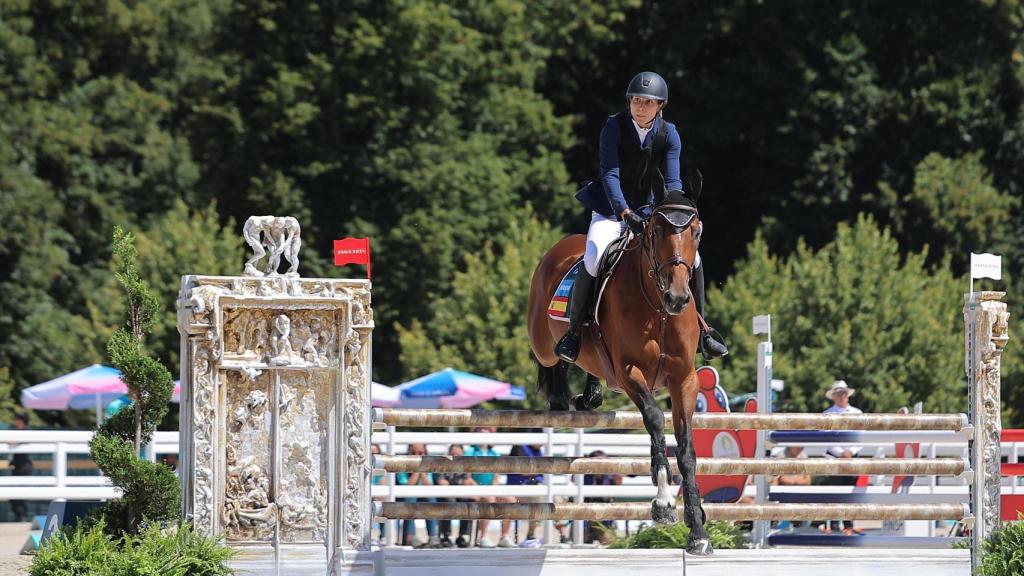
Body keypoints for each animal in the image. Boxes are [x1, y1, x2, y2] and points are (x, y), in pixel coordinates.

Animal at [528, 186, 712, 553]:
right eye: (656, 231)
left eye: (696, 232)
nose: (677, 298)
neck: (658, 308)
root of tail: (559, 248)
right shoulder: (629, 373)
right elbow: (654, 420)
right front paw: (663, 504)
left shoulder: (684, 379)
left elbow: (685, 448)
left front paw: (697, 531)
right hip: (541, 340)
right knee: (551, 359)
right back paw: (559, 395)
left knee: (587, 368)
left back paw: (589, 396)